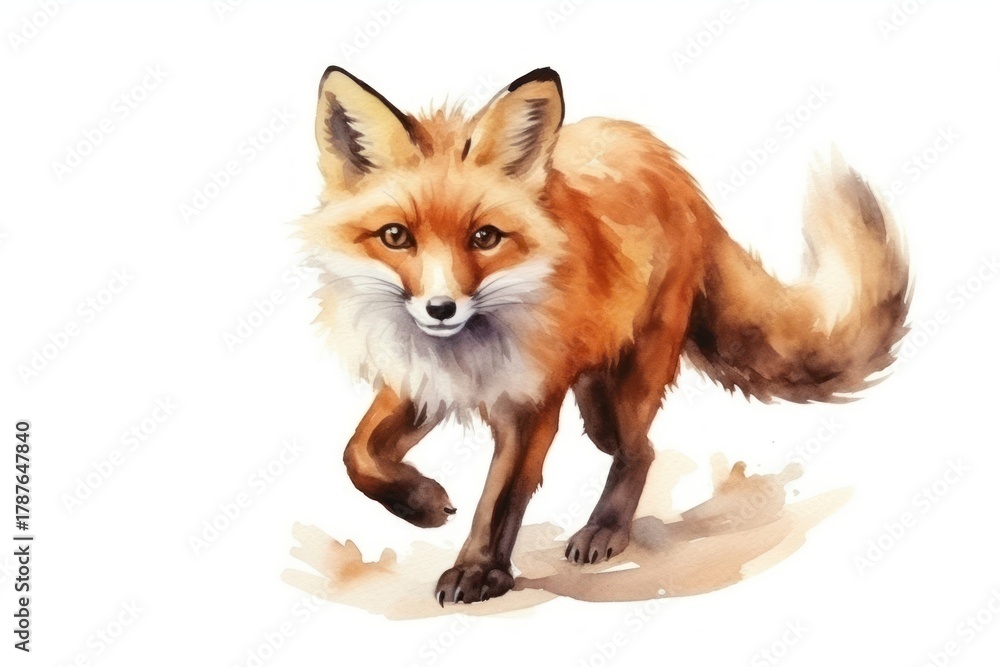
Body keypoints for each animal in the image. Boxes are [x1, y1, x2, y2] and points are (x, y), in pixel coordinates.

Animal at [298, 66, 910, 606]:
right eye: (395, 236)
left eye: (485, 237)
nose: (441, 308)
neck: (466, 347)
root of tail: (674, 170)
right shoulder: (421, 380)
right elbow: (357, 456)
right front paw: (423, 503)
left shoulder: (531, 401)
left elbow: (498, 499)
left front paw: (479, 569)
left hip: (615, 400)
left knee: (641, 452)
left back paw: (607, 530)